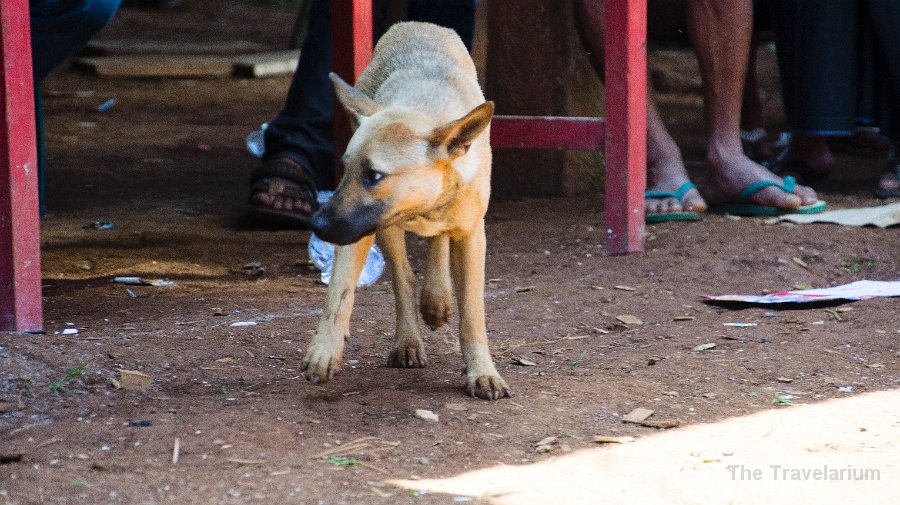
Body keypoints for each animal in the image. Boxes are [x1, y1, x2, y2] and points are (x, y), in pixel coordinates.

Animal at [304, 21, 510, 400]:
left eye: (374, 175)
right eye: (346, 168)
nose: (318, 225)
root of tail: (417, 24)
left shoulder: (472, 234)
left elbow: (473, 313)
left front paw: (482, 372)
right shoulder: (357, 227)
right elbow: (339, 292)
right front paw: (324, 350)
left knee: (437, 248)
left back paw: (437, 298)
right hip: (383, 230)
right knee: (404, 278)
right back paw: (408, 340)